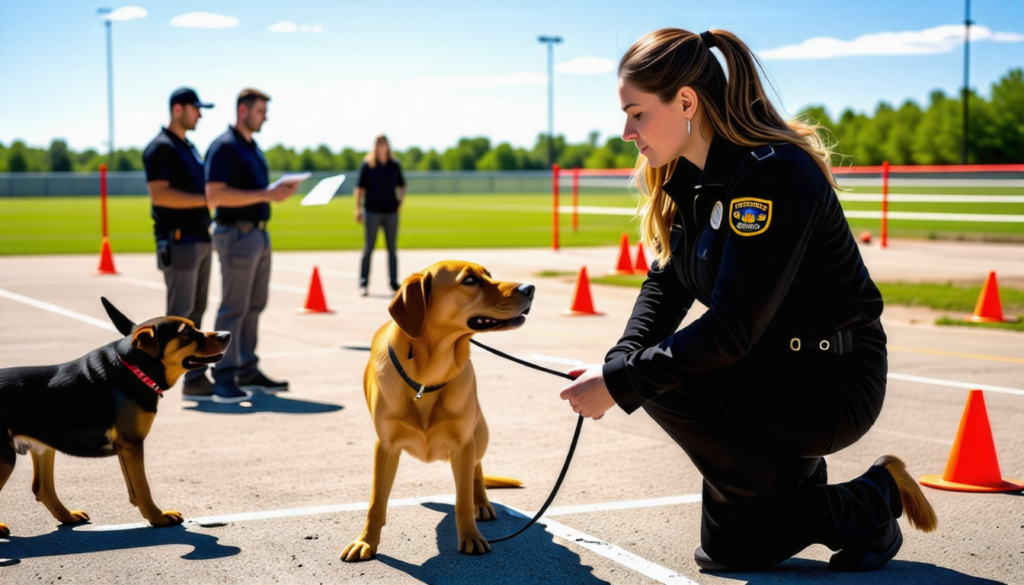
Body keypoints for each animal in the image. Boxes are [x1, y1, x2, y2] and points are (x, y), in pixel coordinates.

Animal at [0, 297, 228, 536]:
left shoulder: (124, 447)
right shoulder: (131, 444)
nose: (227, 335)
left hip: (43, 447)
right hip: (6, 457)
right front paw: (157, 518)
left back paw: (68, 516)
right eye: (185, 331)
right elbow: (143, 487)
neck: (135, 369)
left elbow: (134, 489)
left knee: (42, 488)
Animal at [344, 262, 536, 561]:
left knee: (477, 470)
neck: (427, 377)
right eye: (469, 280)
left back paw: (482, 502)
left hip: (480, 434)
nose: (531, 289)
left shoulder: (463, 443)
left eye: (489, 275)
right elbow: (376, 501)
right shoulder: (385, 446)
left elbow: (463, 501)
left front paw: (470, 537)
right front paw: (366, 541)